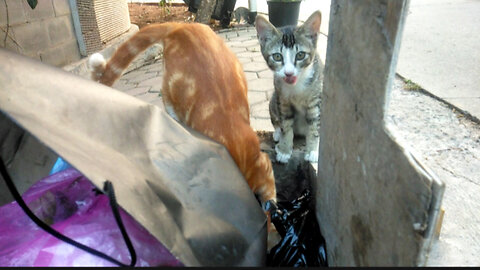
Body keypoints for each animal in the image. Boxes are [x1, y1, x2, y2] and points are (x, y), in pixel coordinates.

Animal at [255, 11, 322, 163]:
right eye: (277, 57)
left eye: (300, 55)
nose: (289, 73)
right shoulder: (282, 99)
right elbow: (286, 125)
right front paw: (285, 149)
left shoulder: (317, 98)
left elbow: (314, 125)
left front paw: (313, 150)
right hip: (274, 99)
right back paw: (277, 133)